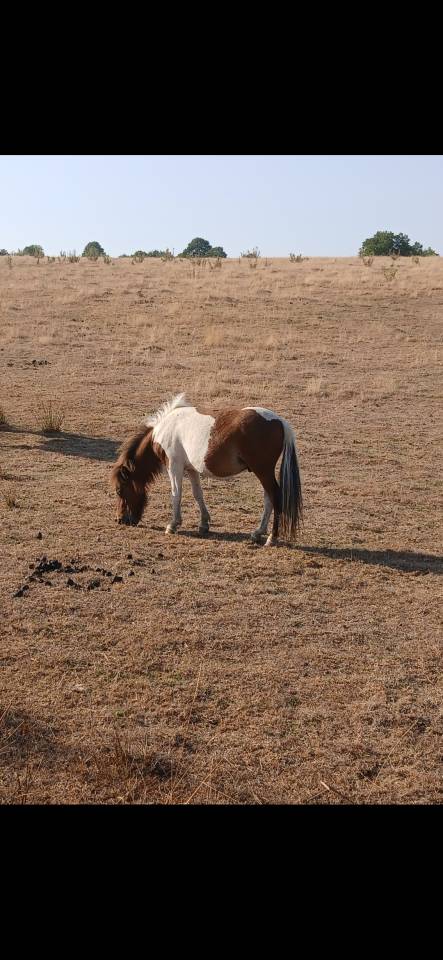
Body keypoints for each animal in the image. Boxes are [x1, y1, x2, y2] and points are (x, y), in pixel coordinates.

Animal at [110, 394, 302, 546]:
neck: (165, 429)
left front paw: (173, 524)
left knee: (275, 497)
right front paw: (203, 524)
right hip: (263, 472)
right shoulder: (191, 470)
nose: (120, 520)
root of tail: (280, 422)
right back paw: (258, 532)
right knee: (268, 499)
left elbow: (176, 494)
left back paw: (272, 538)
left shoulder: (174, 466)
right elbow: (198, 494)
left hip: (263, 471)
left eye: (119, 490)